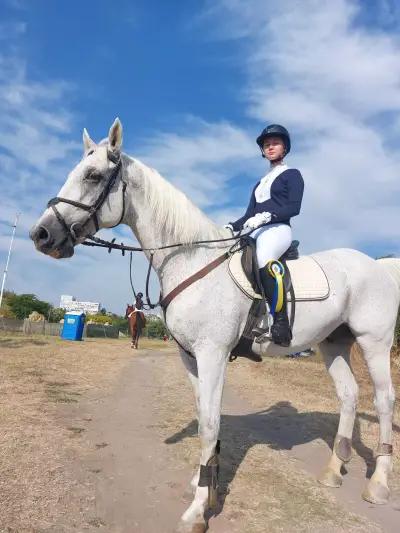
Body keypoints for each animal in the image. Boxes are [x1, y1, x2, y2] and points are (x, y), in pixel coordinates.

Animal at [31, 119, 400, 532]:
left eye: (93, 176)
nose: (41, 235)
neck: (190, 259)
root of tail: (377, 265)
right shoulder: (191, 358)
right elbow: (203, 417)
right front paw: (203, 482)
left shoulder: (212, 355)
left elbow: (209, 423)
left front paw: (198, 510)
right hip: (333, 344)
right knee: (349, 395)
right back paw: (334, 470)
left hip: (374, 342)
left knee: (384, 400)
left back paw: (378, 484)